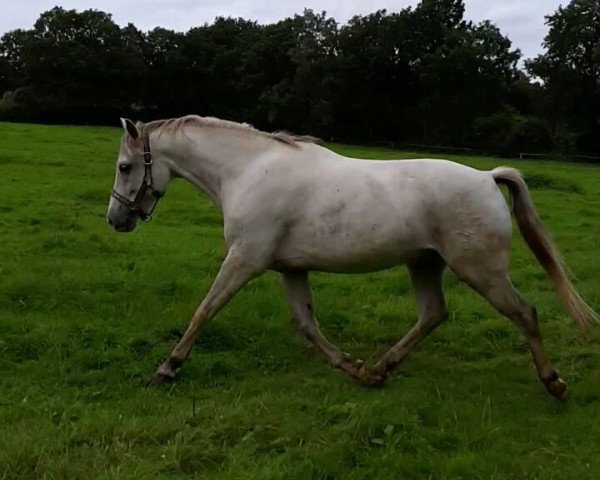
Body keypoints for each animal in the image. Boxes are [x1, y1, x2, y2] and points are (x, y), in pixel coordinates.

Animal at [106, 115, 596, 398]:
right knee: (433, 313)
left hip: (481, 270)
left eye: (125, 167)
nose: (116, 219)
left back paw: (553, 382)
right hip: (424, 263)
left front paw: (167, 369)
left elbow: (205, 310)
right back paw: (380, 369)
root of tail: (487, 176)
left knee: (525, 313)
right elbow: (307, 325)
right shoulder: (289, 269)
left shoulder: (245, 259)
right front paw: (354, 369)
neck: (248, 172)